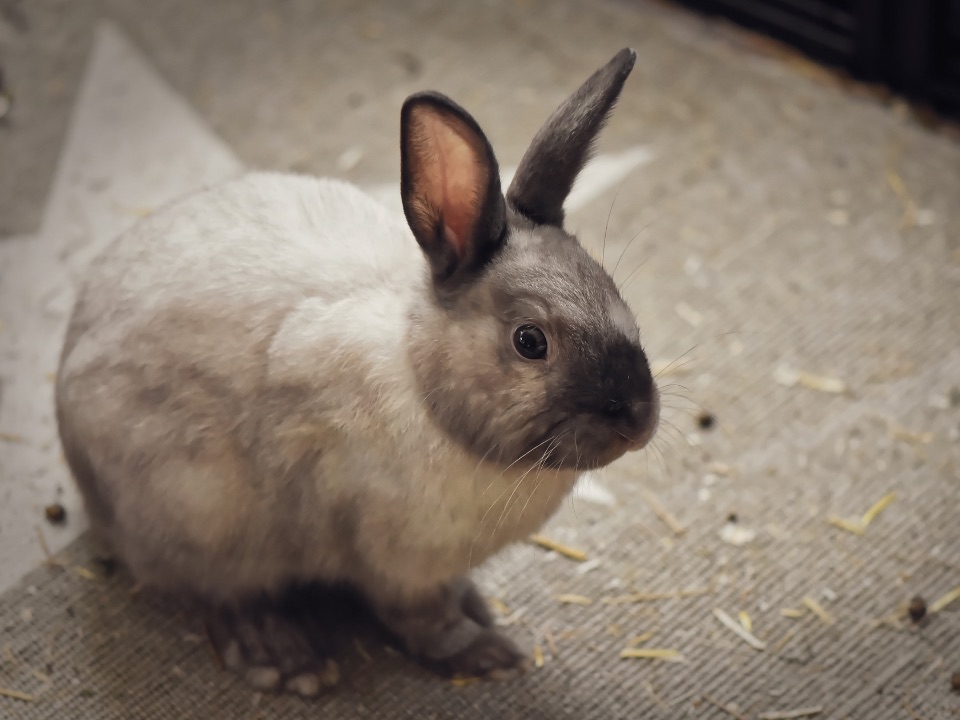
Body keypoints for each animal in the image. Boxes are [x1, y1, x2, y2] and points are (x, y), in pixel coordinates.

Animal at [56, 47, 656, 696]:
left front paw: (479, 612)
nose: (637, 421)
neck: (423, 386)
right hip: (196, 511)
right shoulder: (396, 565)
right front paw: (488, 654)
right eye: (530, 341)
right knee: (215, 592)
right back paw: (285, 655)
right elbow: (424, 622)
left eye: (614, 291)